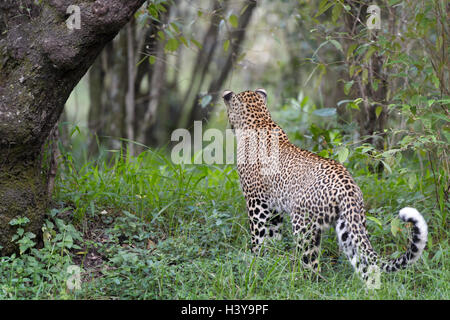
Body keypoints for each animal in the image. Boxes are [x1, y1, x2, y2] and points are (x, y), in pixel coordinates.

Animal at [221, 87, 428, 282]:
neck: (259, 120)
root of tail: (348, 186)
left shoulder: (257, 203)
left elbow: (259, 237)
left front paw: (256, 263)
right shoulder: (274, 209)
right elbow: (274, 237)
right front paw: (271, 261)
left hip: (303, 224)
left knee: (311, 264)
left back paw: (299, 282)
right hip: (349, 226)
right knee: (365, 265)